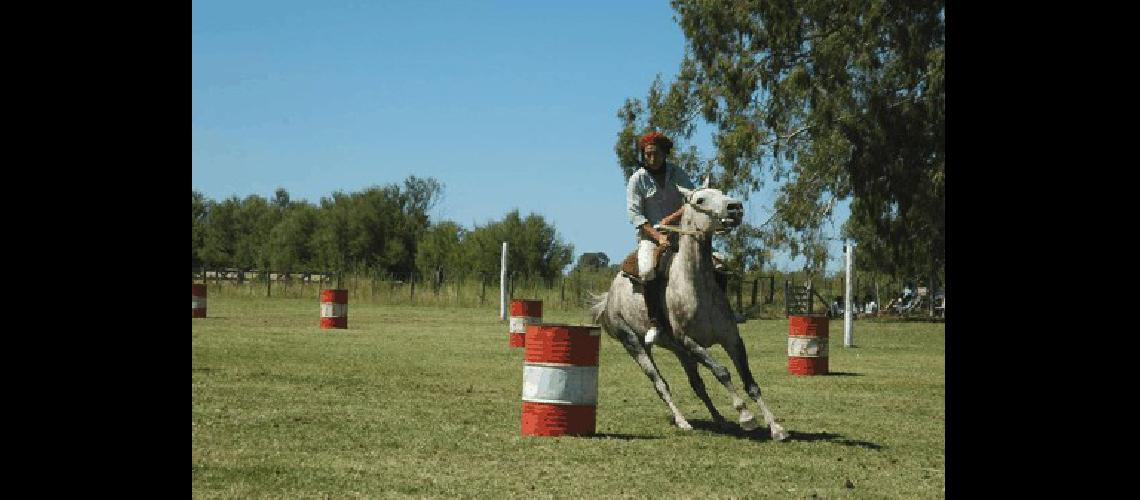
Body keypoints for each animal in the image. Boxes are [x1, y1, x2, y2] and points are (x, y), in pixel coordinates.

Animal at [588, 182, 784, 439]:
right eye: (700, 200)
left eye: (722, 192)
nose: (735, 208)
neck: (696, 285)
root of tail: (609, 298)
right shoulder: (690, 341)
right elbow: (722, 371)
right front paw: (746, 416)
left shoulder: (730, 339)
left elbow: (750, 382)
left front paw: (775, 427)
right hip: (634, 344)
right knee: (660, 384)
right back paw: (683, 421)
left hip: (679, 351)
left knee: (697, 384)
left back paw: (720, 420)